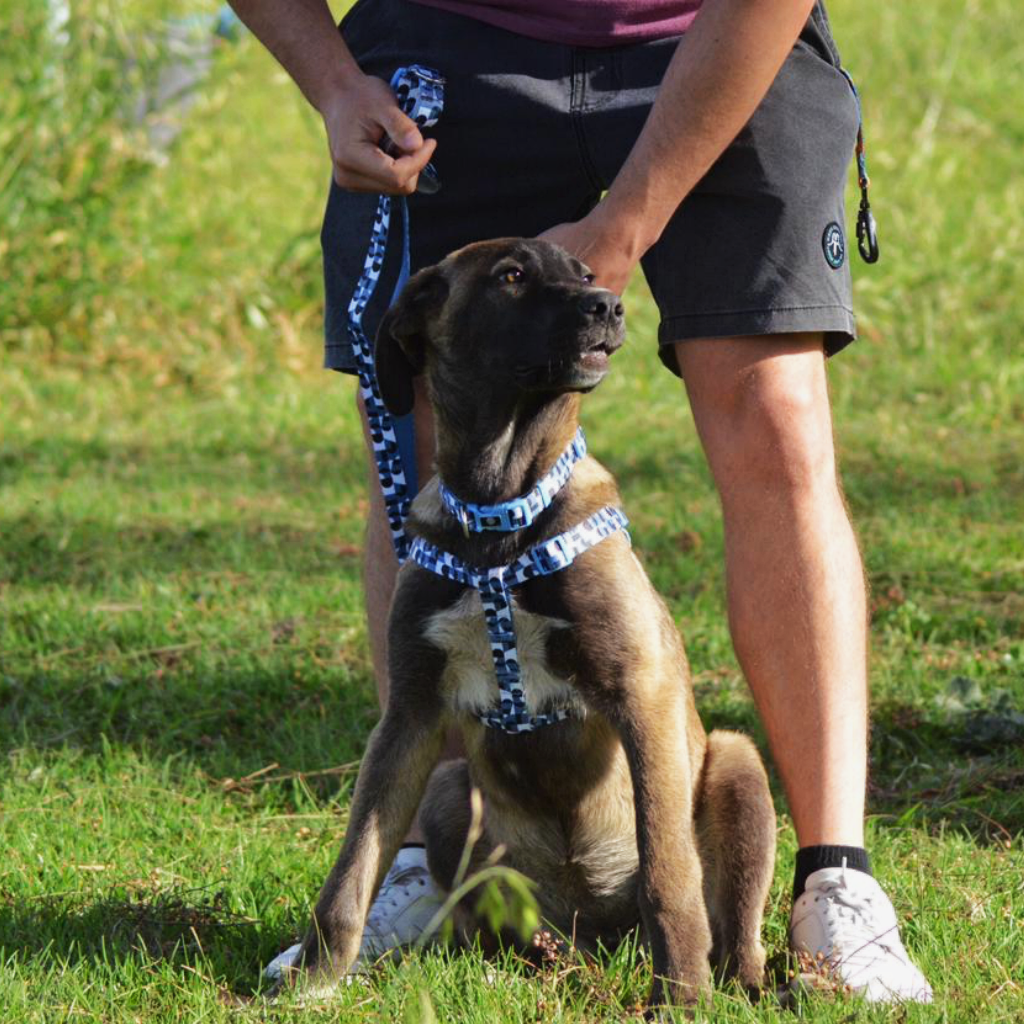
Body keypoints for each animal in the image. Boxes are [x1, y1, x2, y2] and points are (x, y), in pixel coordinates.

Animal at [296, 237, 774, 1007]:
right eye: (511, 277)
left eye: (585, 274)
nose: (609, 305)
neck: (500, 513)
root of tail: (600, 934)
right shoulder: (409, 713)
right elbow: (354, 865)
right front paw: (313, 979)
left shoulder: (640, 694)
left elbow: (669, 872)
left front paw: (682, 996)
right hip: (448, 789)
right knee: (507, 924)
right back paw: (531, 956)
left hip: (735, 762)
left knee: (734, 925)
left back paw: (743, 979)